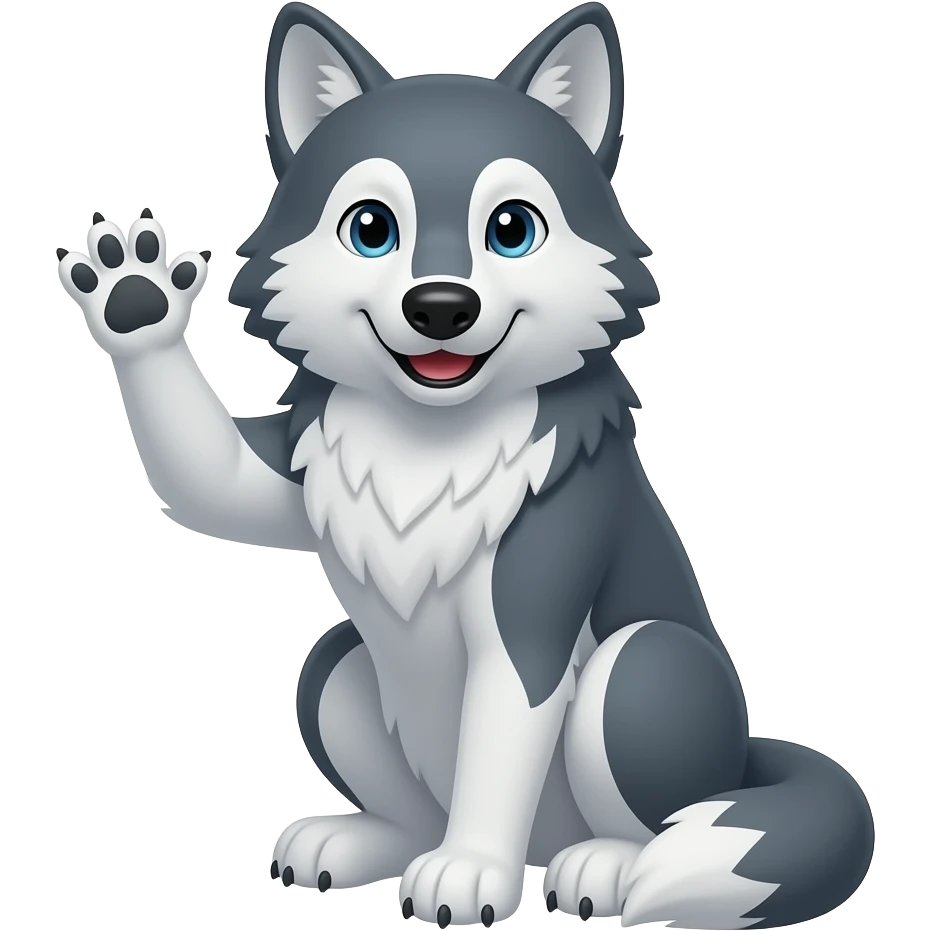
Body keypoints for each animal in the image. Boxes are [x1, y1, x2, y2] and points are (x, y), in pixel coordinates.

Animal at [56, 2, 874, 927]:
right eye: (371, 229)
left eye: (510, 230)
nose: (441, 306)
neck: (432, 443)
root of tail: (745, 758)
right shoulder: (293, 470)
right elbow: (208, 482)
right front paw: (136, 302)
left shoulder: (530, 613)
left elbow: (501, 738)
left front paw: (471, 871)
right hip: (335, 664)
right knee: (397, 776)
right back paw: (364, 842)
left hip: (643, 674)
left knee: (647, 793)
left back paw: (605, 866)